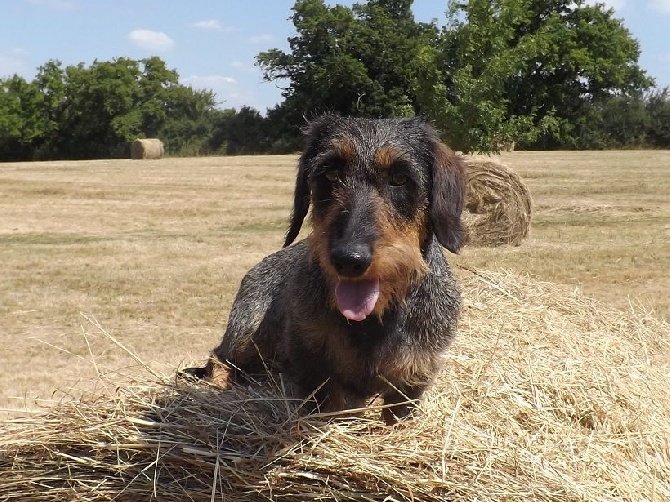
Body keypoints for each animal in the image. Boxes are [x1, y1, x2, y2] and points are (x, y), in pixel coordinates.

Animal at [186, 114, 464, 424]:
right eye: (330, 174)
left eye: (400, 178)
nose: (348, 259)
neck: (370, 322)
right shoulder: (311, 366)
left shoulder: (413, 378)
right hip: (246, 331)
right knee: (219, 357)